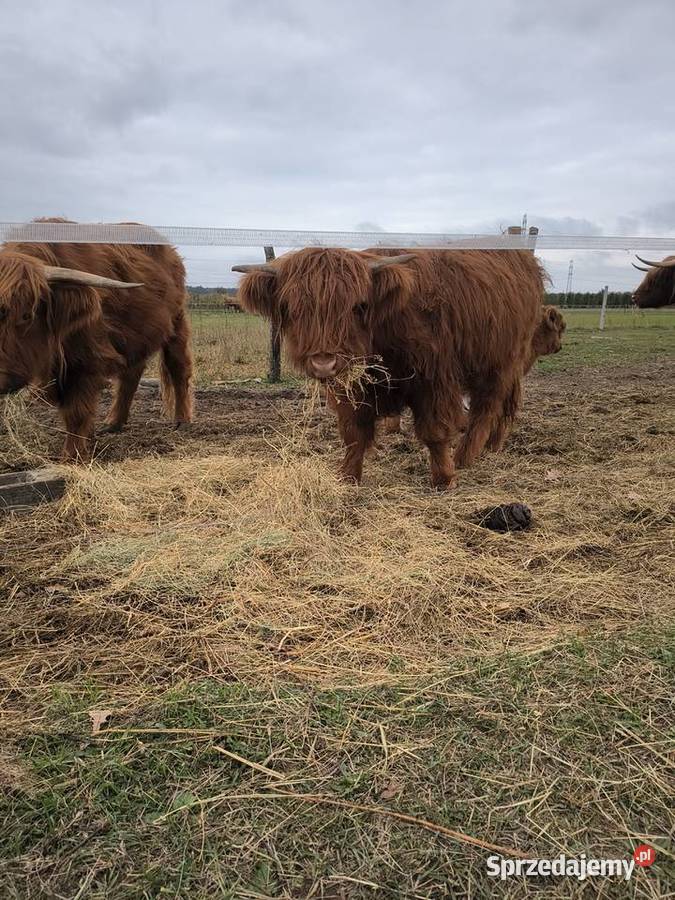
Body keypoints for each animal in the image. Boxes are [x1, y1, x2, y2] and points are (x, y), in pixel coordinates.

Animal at [0, 219, 193, 459]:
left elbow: (76, 410)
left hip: (176, 322)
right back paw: (113, 423)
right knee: (131, 375)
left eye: (27, 315)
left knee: (178, 368)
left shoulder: (87, 359)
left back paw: (182, 420)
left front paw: (72, 456)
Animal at [233, 247, 546, 488]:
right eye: (292, 308)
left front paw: (444, 478)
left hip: (501, 363)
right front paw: (348, 477)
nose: (323, 362)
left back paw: (465, 457)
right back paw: (492, 446)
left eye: (358, 306)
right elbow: (354, 436)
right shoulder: (352, 389)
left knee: (486, 409)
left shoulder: (434, 380)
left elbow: (434, 432)